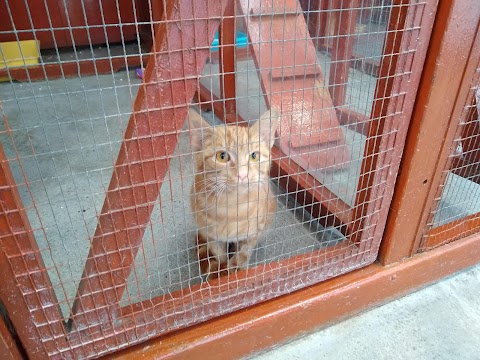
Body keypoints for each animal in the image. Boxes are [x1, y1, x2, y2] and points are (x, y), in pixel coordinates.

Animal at [188, 108, 278, 280]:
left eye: (254, 156)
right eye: (222, 156)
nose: (242, 175)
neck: (231, 207)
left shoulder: (252, 234)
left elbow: (242, 255)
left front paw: (238, 273)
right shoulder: (212, 236)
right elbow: (220, 255)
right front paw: (222, 275)